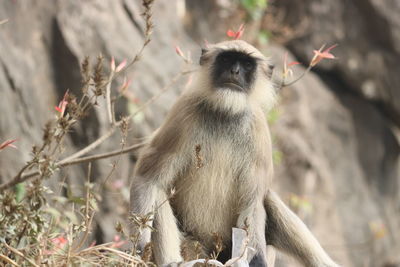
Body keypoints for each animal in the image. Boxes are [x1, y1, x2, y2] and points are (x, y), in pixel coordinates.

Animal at [130, 40, 340, 267]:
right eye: (227, 59)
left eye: (247, 65)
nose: (235, 71)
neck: (226, 113)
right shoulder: (183, 113)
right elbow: (147, 179)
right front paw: (138, 249)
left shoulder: (258, 129)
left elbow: (252, 203)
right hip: (194, 246)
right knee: (159, 190)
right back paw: (173, 261)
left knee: (266, 199)